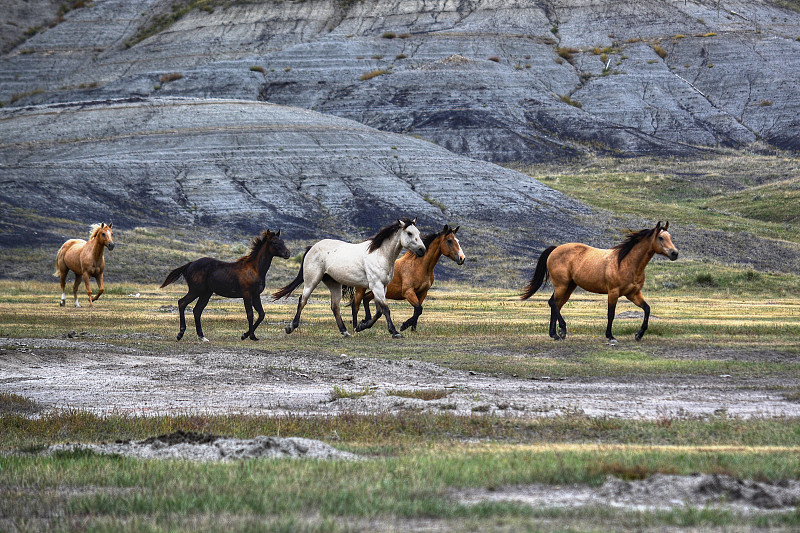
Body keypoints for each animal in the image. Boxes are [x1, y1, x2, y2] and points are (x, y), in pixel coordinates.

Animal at [159, 229, 290, 340]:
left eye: (283, 241)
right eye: (274, 242)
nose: (287, 253)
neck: (254, 269)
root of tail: (189, 264)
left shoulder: (256, 295)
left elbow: (261, 314)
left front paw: (246, 335)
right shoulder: (247, 294)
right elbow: (250, 314)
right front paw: (249, 336)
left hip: (206, 293)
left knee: (197, 310)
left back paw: (201, 336)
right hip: (195, 290)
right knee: (182, 303)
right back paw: (180, 334)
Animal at [274, 217, 428, 336]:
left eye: (418, 233)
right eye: (409, 233)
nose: (422, 250)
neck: (380, 254)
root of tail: (312, 247)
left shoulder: (382, 287)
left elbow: (379, 311)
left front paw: (361, 326)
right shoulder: (376, 286)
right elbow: (385, 309)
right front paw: (395, 331)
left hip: (334, 284)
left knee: (335, 307)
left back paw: (344, 331)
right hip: (312, 281)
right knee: (303, 300)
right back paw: (291, 327)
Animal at [520, 221, 680, 342]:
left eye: (670, 236)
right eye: (661, 238)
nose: (675, 253)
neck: (626, 262)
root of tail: (555, 249)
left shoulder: (633, 294)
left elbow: (647, 309)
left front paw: (639, 334)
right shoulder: (613, 292)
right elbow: (611, 314)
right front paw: (610, 336)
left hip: (569, 287)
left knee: (556, 305)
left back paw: (555, 334)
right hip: (562, 285)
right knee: (553, 303)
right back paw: (562, 330)